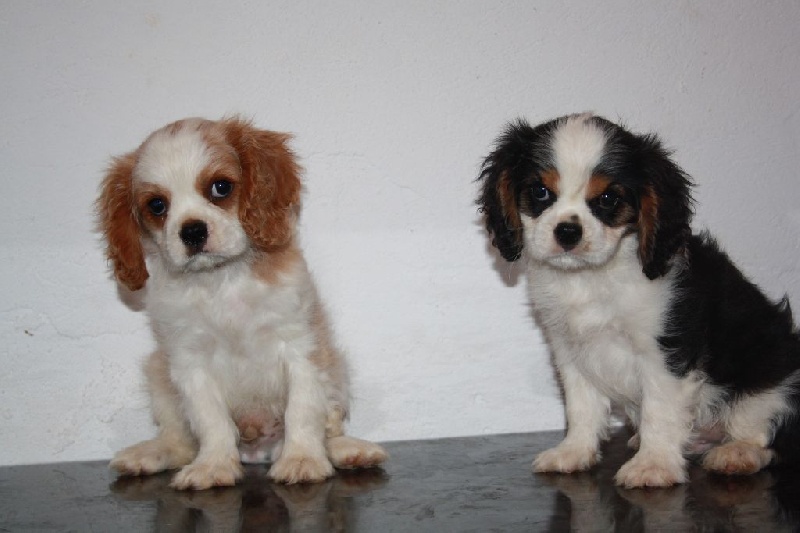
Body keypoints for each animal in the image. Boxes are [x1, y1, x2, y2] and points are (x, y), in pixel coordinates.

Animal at [98, 117, 386, 490]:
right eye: (157, 205)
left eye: (221, 187)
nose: (192, 231)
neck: (222, 280)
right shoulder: (189, 361)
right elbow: (211, 420)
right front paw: (214, 465)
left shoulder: (300, 347)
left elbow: (303, 409)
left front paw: (302, 459)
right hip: (157, 373)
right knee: (178, 442)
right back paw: (148, 454)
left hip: (337, 368)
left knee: (330, 427)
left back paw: (347, 450)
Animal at [478, 112, 796, 486]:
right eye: (540, 192)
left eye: (607, 199)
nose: (568, 231)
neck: (589, 277)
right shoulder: (570, 350)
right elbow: (581, 406)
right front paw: (574, 451)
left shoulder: (665, 352)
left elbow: (660, 410)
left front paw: (653, 465)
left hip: (770, 381)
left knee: (767, 434)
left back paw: (736, 453)